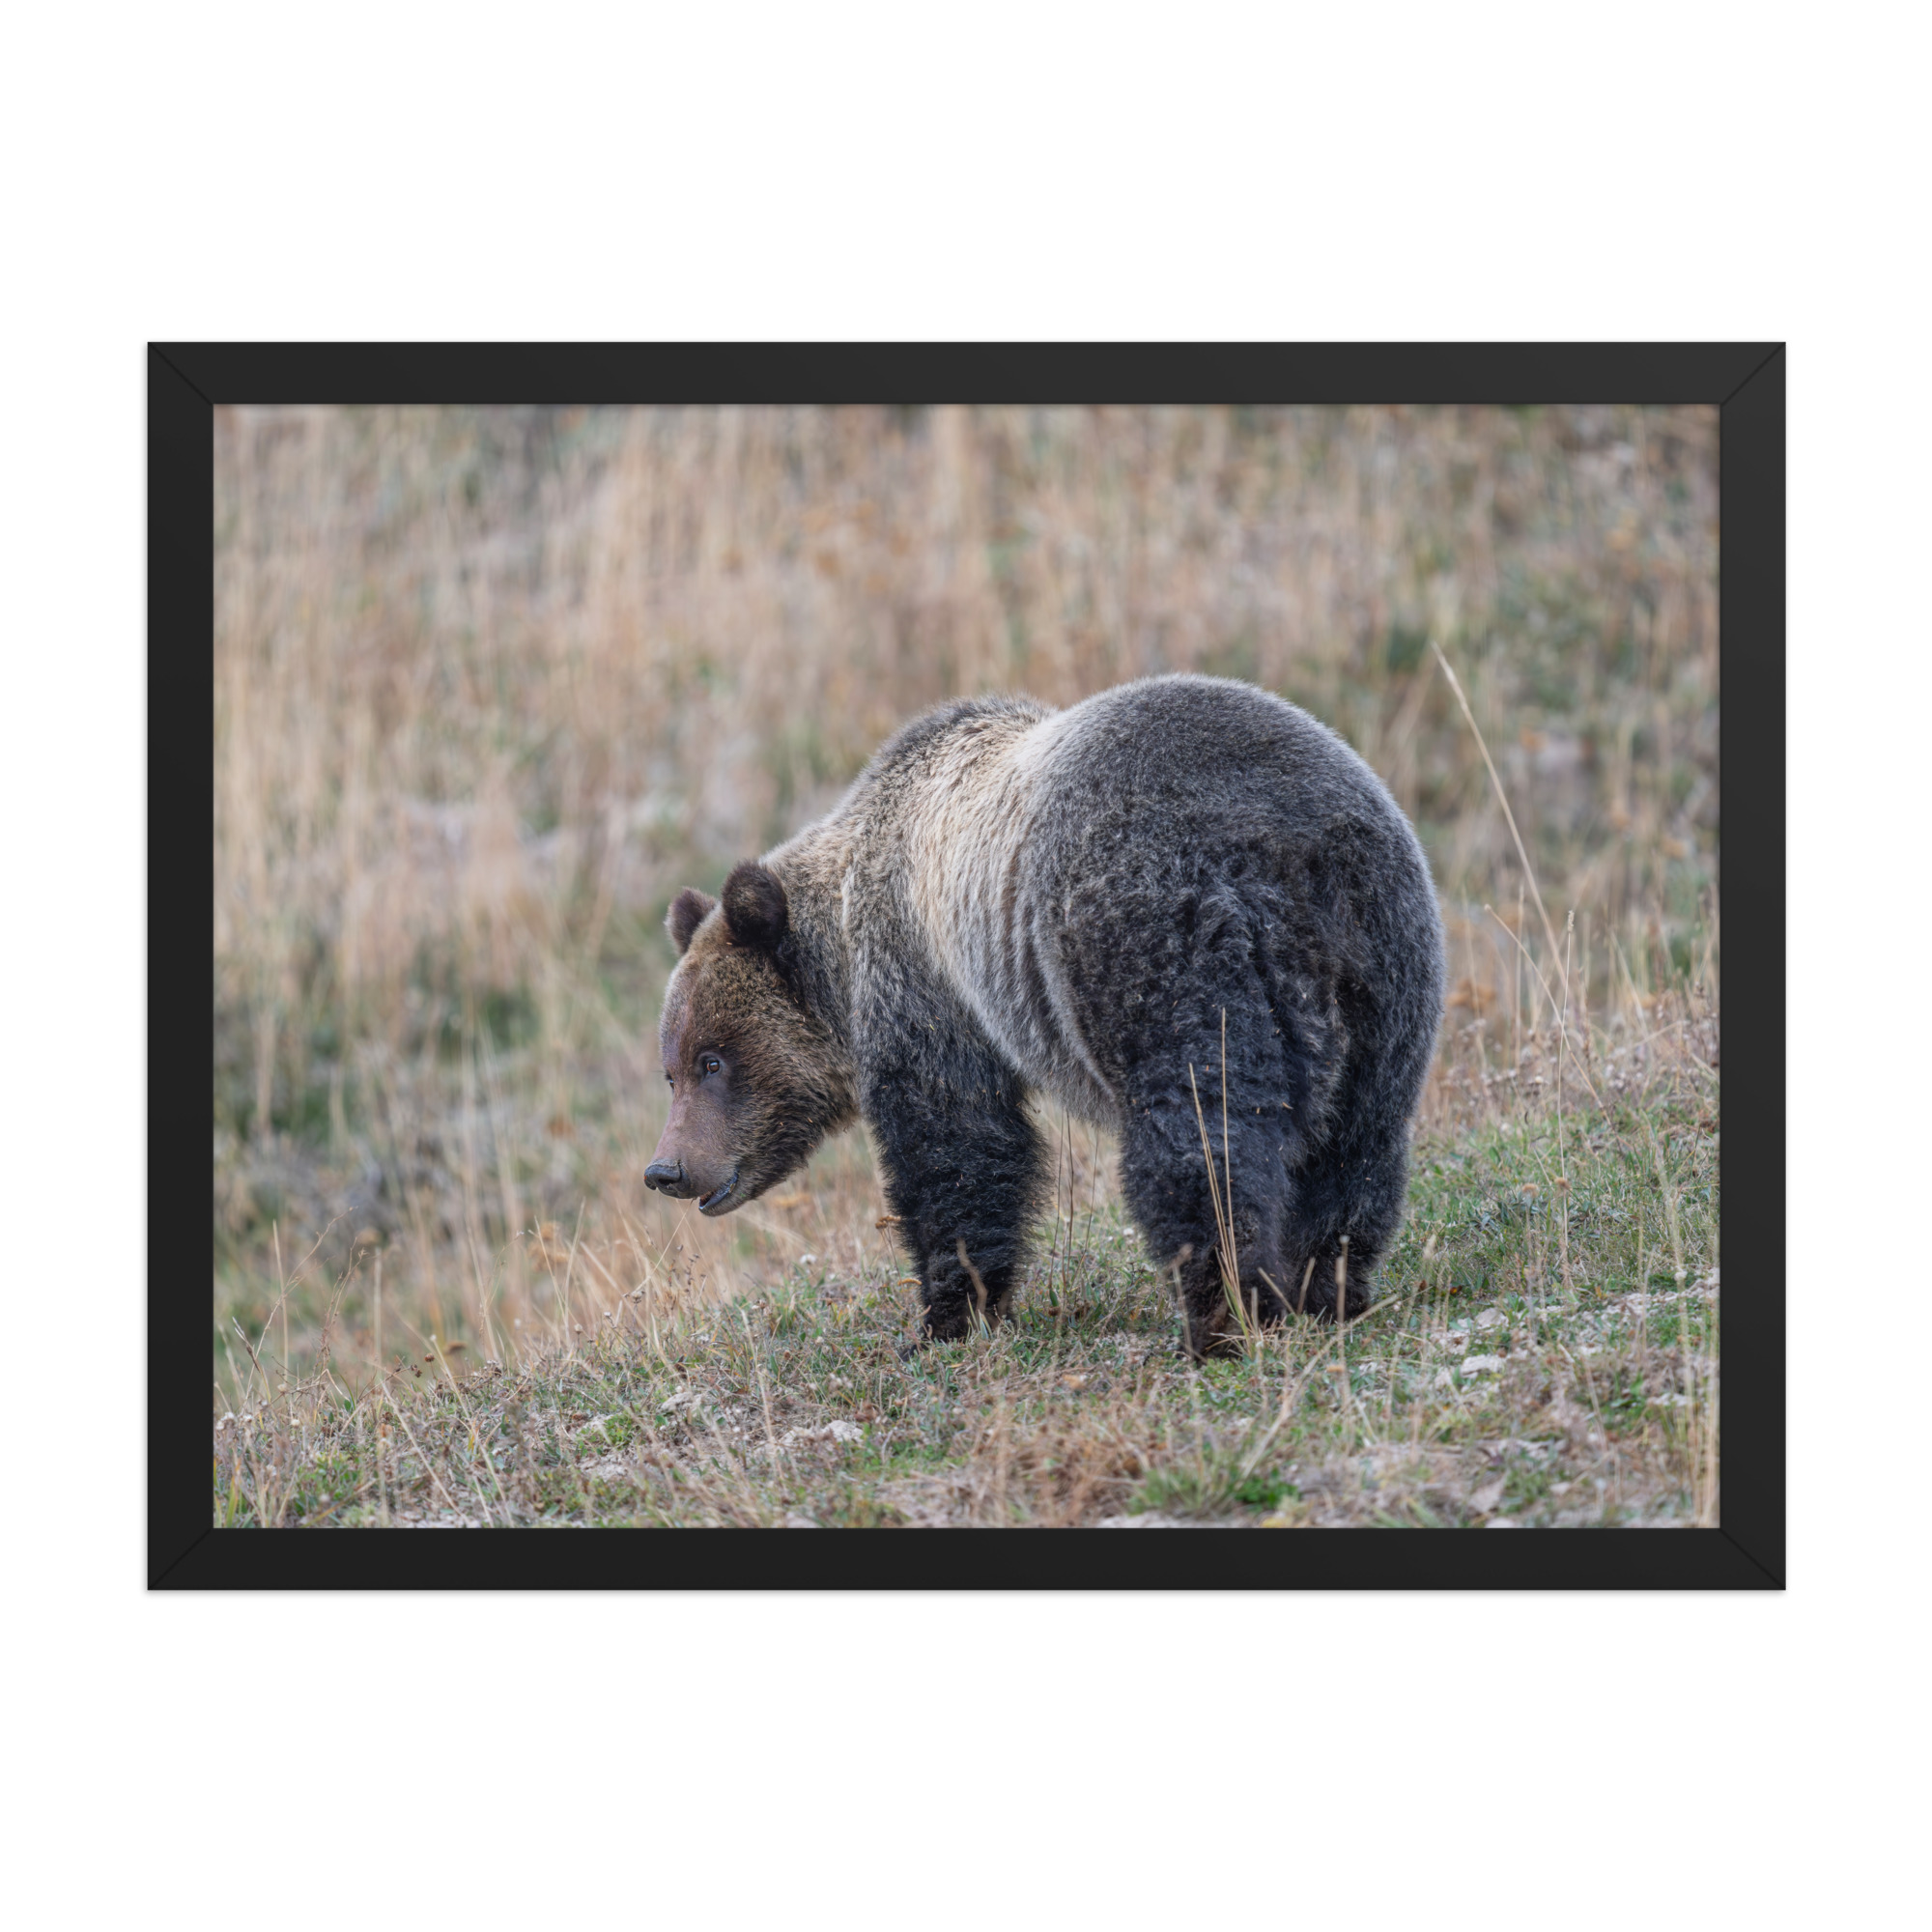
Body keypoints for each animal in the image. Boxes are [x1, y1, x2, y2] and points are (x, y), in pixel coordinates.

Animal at [646, 673, 1445, 1358]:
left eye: (712, 1060)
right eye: (672, 1069)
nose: (666, 1169)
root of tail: (1288, 852)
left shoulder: (928, 984)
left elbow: (957, 1147)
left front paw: (946, 1317)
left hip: (1158, 942)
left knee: (1201, 1138)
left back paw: (1221, 1316)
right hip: (1385, 964)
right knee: (1357, 1143)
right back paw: (1326, 1289)